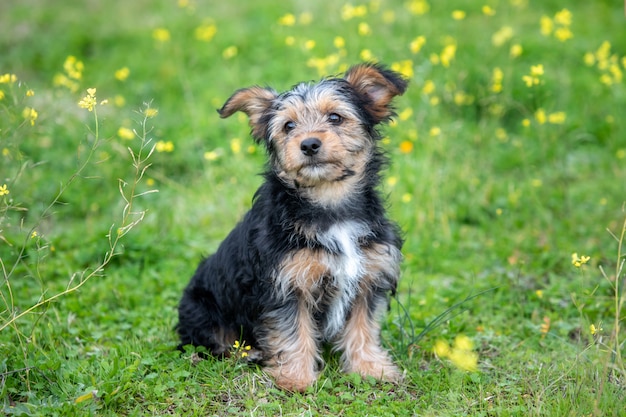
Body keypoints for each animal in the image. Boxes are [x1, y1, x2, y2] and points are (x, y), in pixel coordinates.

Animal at [178, 61, 408, 390]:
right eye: (288, 126)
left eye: (335, 117)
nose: (309, 144)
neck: (329, 204)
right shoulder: (285, 285)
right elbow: (292, 332)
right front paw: (296, 379)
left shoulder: (369, 277)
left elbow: (363, 327)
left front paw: (370, 369)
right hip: (201, 306)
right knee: (210, 342)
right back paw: (247, 353)